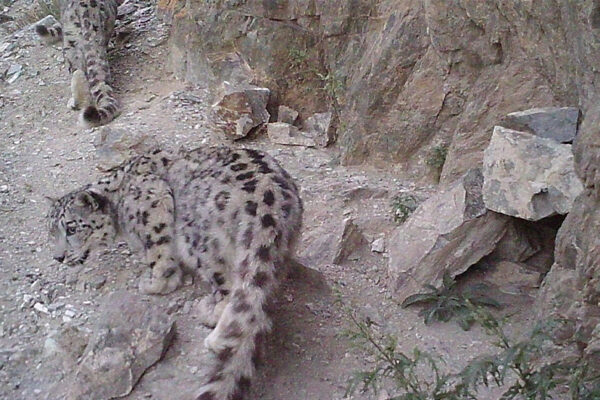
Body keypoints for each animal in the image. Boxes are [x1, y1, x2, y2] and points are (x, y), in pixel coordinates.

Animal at [45, 147, 304, 400]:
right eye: (51, 232)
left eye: (71, 228)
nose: (58, 257)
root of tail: (270, 203)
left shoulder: (153, 201)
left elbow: (158, 251)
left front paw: (154, 282)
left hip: (200, 243)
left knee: (230, 290)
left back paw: (211, 322)